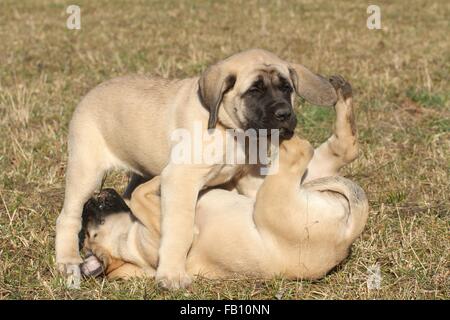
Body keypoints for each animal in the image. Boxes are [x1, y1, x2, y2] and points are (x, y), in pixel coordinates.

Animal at [55, 48, 338, 290]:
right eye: (254, 91)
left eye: (286, 88)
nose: (284, 114)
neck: (231, 131)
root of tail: (92, 92)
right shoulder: (181, 180)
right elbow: (179, 227)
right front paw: (172, 275)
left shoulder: (248, 175)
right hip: (86, 172)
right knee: (68, 217)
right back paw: (68, 260)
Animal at [79, 82, 368, 280]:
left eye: (91, 231)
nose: (92, 200)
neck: (129, 247)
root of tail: (346, 238)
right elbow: (140, 194)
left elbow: (138, 192)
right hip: (273, 197)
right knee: (302, 150)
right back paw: (283, 124)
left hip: (281, 183)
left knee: (342, 148)